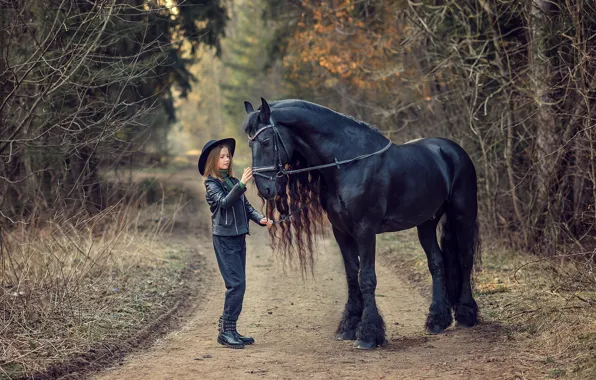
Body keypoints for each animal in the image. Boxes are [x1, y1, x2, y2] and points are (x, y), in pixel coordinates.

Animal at [242, 98, 480, 350]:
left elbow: (366, 278)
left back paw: (466, 314)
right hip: (426, 222)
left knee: (465, 259)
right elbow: (351, 276)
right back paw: (437, 321)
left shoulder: (365, 230)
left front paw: (368, 335)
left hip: (462, 215)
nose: (264, 189)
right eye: (250, 143)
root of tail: (453, 150)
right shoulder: (341, 231)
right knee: (437, 262)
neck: (348, 164)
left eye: (265, 141)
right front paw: (348, 327)